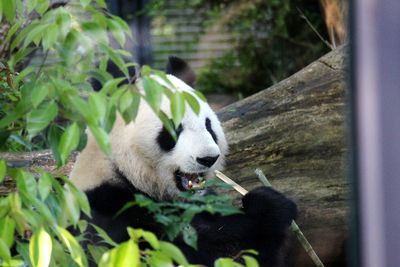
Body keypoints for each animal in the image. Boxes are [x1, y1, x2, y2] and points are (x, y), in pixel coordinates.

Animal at [70, 57, 296, 267]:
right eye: (173, 128)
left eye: (208, 126)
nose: (208, 158)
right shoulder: (114, 216)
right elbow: (212, 253)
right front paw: (267, 207)